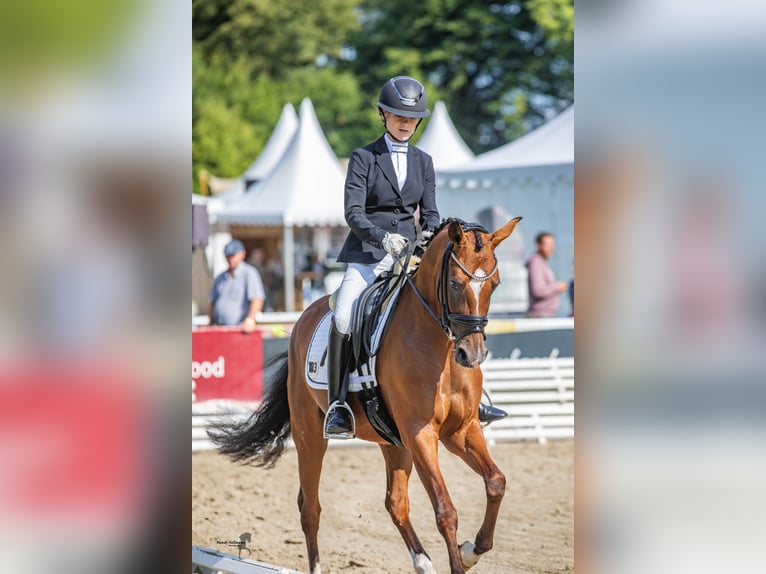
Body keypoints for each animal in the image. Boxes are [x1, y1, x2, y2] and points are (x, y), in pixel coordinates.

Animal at [210, 217, 520, 574]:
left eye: (494, 284)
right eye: (455, 284)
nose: (472, 355)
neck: (439, 347)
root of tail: (303, 318)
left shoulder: (461, 430)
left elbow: (496, 482)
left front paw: (471, 550)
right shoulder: (421, 434)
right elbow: (445, 511)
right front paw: (462, 557)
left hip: (393, 442)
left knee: (395, 503)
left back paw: (424, 563)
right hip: (309, 436)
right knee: (310, 508)